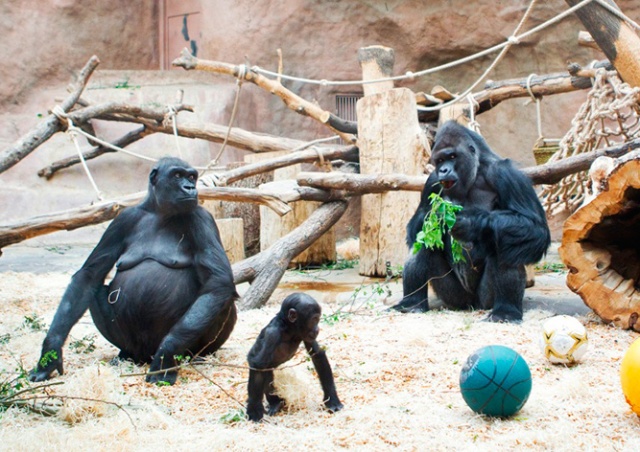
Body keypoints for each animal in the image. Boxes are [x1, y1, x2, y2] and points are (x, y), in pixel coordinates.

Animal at [30, 157, 238, 384]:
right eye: (177, 175)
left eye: (192, 177)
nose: (190, 187)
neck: (160, 212)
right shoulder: (123, 220)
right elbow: (89, 276)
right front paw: (50, 352)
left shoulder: (202, 219)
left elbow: (218, 281)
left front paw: (166, 354)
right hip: (136, 347)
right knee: (97, 291)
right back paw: (126, 354)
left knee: (220, 298)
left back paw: (195, 356)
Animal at [390, 121, 552, 322]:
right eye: (440, 160)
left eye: (452, 156)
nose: (443, 170)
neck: (476, 171)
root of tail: (472, 305)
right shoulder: (432, 181)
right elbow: (417, 228)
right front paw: (437, 216)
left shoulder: (507, 174)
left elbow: (536, 228)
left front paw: (472, 222)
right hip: (455, 299)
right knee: (423, 242)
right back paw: (411, 304)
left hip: (484, 300)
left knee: (507, 238)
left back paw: (505, 311)